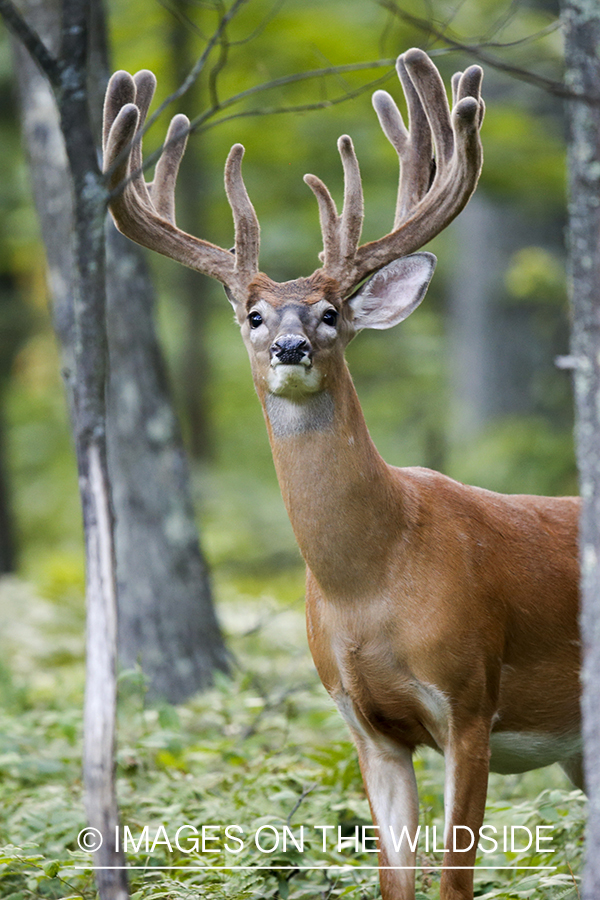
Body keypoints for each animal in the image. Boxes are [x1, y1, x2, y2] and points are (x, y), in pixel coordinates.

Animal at [102, 49, 580, 900]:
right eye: (255, 315)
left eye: (330, 313)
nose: (291, 347)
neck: (371, 581)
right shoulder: (365, 720)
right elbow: (395, 880)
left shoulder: (469, 697)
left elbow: (454, 880)